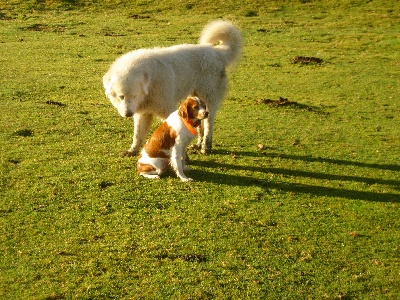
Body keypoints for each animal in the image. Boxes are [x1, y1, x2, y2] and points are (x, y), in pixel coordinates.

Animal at [101, 20, 242, 156]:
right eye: (121, 97)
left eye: (134, 96)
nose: (128, 114)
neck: (150, 82)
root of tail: (216, 52)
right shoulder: (143, 113)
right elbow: (137, 136)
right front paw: (132, 151)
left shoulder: (166, 110)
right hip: (196, 100)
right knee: (200, 124)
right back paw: (198, 145)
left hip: (208, 98)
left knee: (208, 124)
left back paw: (205, 147)